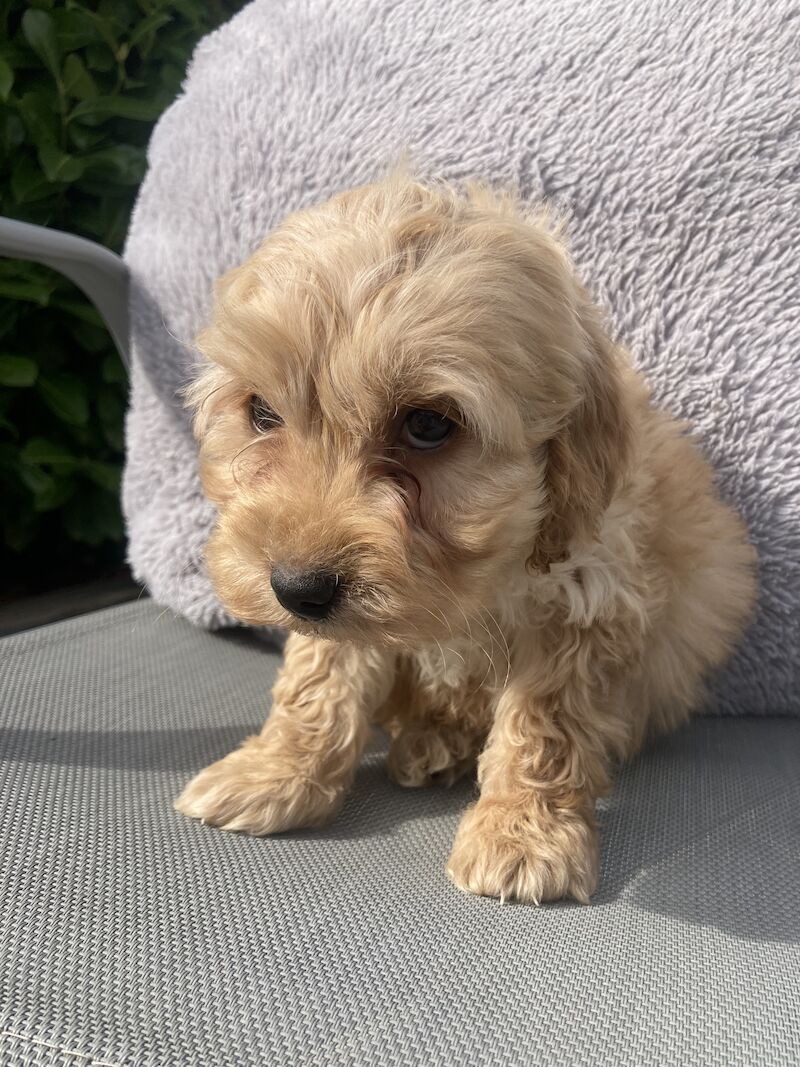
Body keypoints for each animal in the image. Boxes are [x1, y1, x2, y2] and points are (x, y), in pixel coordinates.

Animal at [174, 172, 759, 900]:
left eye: (428, 425)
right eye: (261, 412)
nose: (297, 588)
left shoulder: (587, 595)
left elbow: (546, 721)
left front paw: (524, 832)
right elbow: (319, 680)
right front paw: (274, 771)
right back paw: (434, 740)